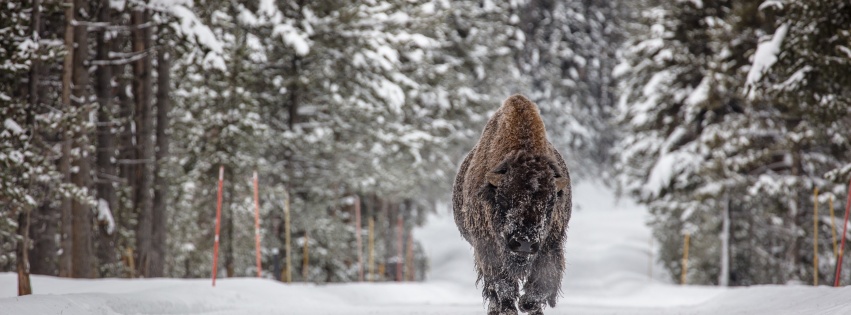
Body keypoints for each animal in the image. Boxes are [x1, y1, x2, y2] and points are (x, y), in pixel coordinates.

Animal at [452, 94, 572, 315]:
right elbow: (503, 286)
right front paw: (512, 306)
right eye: (504, 199)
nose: (524, 243)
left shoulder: (551, 244)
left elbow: (542, 285)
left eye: (550, 203)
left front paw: (527, 303)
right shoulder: (488, 248)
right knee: (494, 293)